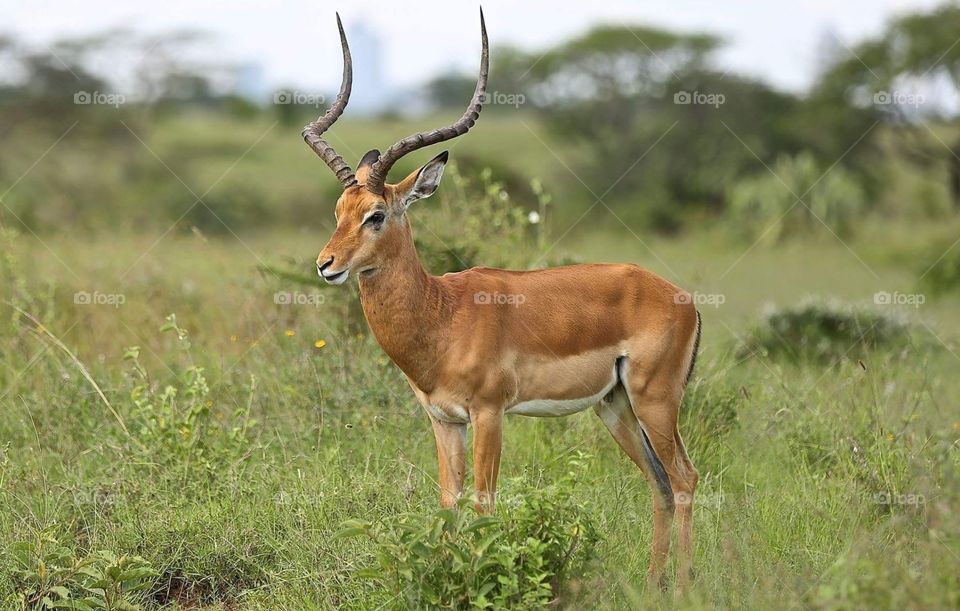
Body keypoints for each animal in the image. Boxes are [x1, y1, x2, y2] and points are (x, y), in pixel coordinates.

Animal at [304, 11, 702, 591]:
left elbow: (483, 505)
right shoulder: (444, 420)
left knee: (686, 478)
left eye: (376, 214)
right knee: (661, 485)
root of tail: (683, 298)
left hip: (656, 401)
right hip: (617, 406)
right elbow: (448, 504)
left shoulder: (490, 414)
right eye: (339, 210)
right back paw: (653, 588)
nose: (325, 264)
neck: (442, 314)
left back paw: (686, 584)